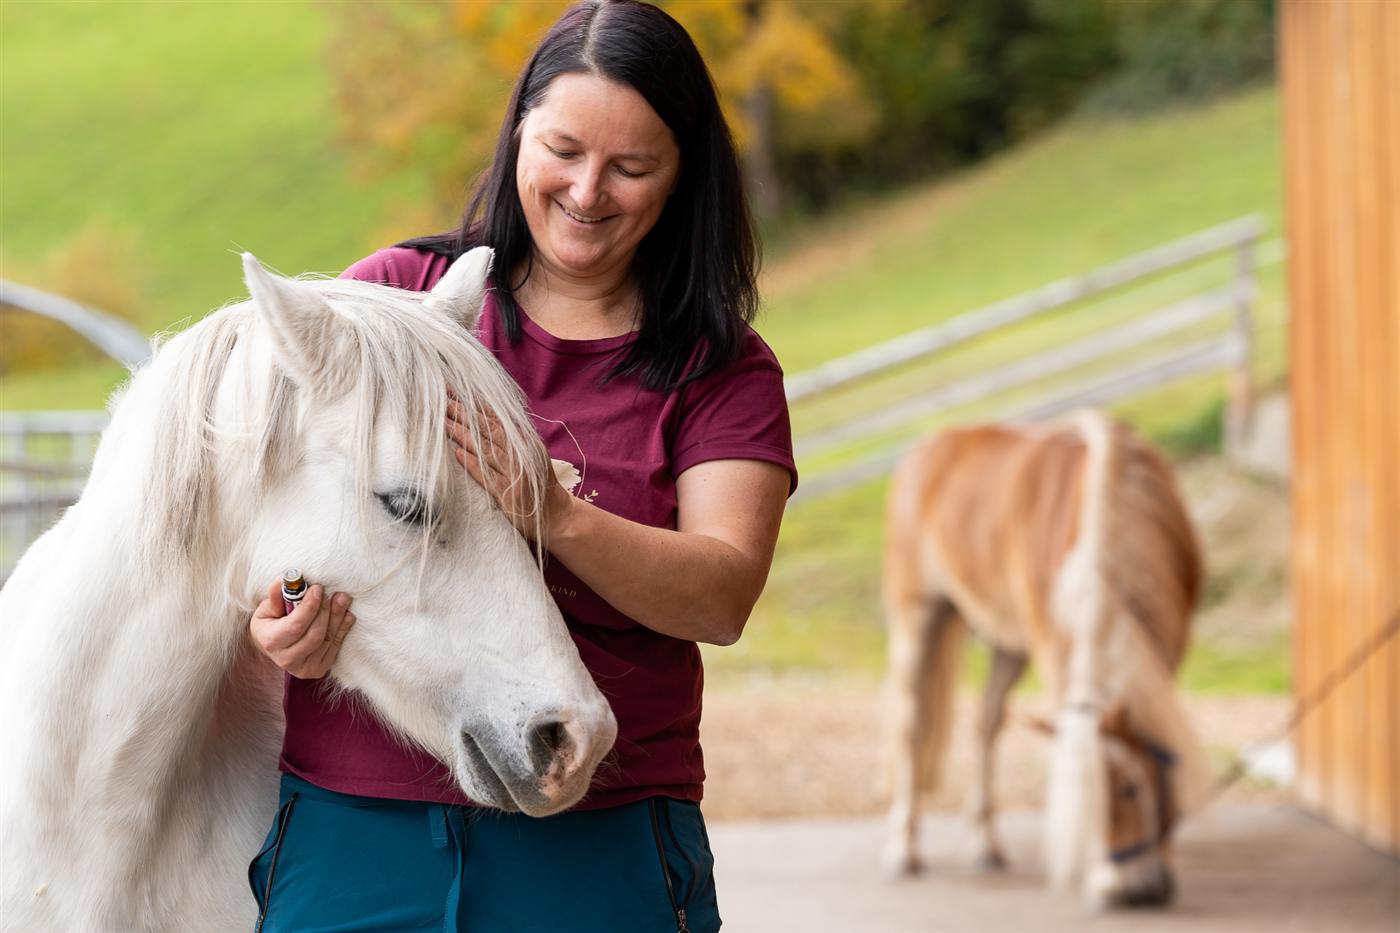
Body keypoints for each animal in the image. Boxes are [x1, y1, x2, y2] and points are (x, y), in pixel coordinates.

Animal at [881, 410, 1208, 908]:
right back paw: (904, 849)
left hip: (1007, 644)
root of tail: (926, 450)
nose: (1131, 891)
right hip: (917, 617)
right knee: (911, 726)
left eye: (1131, 788)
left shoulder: (1162, 657)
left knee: (986, 723)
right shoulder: (1057, 656)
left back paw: (985, 843)